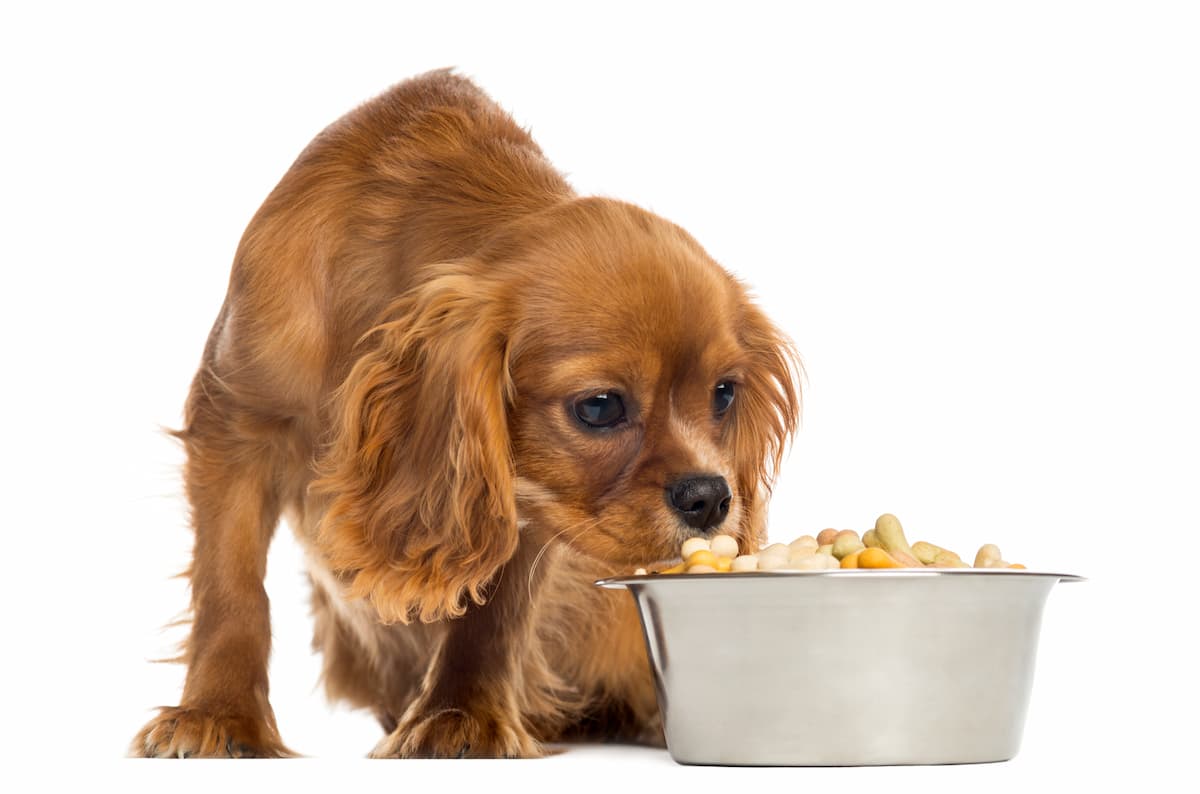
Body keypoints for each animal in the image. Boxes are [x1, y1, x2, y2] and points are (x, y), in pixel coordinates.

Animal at [131, 68, 796, 758]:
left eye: (724, 393)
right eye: (599, 407)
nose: (710, 497)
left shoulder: (521, 495)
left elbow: (490, 613)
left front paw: (460, 716)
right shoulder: (233, 424)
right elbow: (231, 590)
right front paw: (219, 714)